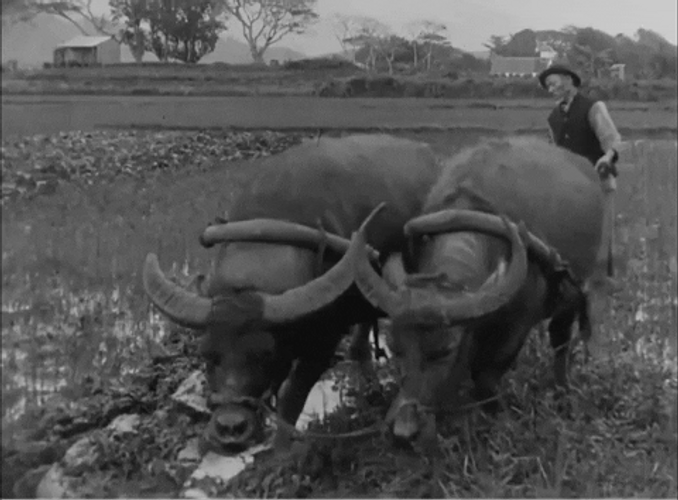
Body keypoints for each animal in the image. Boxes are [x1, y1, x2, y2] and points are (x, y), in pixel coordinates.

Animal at [142, 134, 442, 453]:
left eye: (265, 354)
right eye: (208, 355)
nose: (230, 428)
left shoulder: (323, 342)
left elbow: (291, 395)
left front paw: (281, 449)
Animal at [351, 136, 606, 447]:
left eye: (444, 351)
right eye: (397, 349)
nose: (403, 433)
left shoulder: (518, 322)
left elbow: (485, 375)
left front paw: (495, 416)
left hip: (572, 292)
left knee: (560, 340)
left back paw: (561, 391)